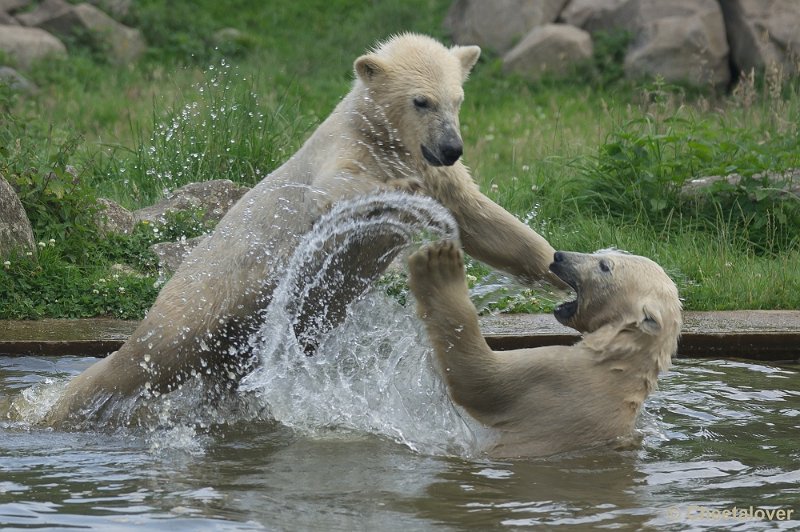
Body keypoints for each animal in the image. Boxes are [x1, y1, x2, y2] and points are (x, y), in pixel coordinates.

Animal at [45, 33, 564, 426]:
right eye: (421, 101)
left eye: (458, 99)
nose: (452, 147)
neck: (378, 134)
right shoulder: (346, 152)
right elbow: (337, 194)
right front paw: (402, 193)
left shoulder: (441, 174)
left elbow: (484, 221)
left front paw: (562, 270)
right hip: (203, 297)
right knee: (144, 357)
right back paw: (58, 408)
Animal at [406, 240, 680, 458]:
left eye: (604, 265)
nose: (558, 256)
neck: (619, 362)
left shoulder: (554, 376)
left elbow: (478, 379)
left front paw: (440, 267)